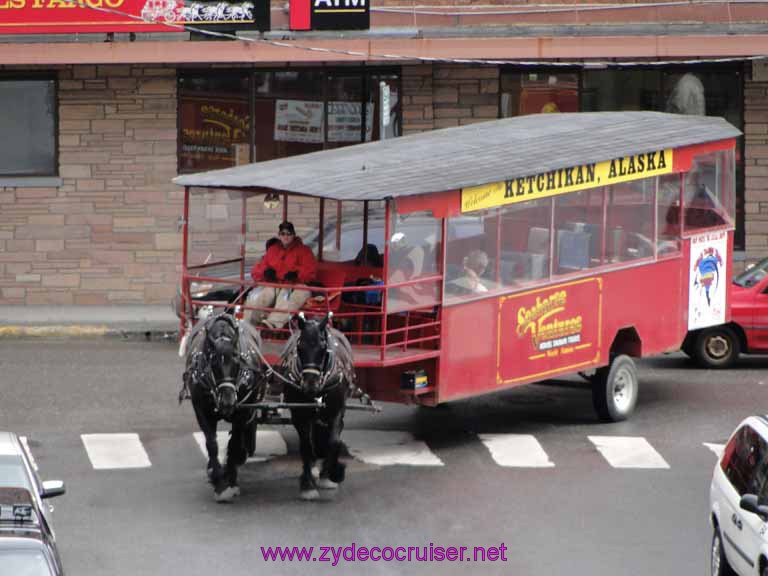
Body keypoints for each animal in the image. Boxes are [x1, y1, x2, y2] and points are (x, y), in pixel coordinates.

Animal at [182, 312, 266, 502]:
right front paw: (218, 481)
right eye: (213, 364)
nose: (228, 401)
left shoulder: (243, 409)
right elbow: (211, 443)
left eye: (237, 362)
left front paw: (231, 478)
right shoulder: (200, 408)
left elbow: (234, 442)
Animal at [280, 312, 356, 502]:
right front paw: (307, 485)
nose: (310, 384)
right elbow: (306, 446)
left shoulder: (337, 411)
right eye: (300, 347)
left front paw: (331, 474)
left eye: (322, 348)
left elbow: (333, 441)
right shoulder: (299, 414)